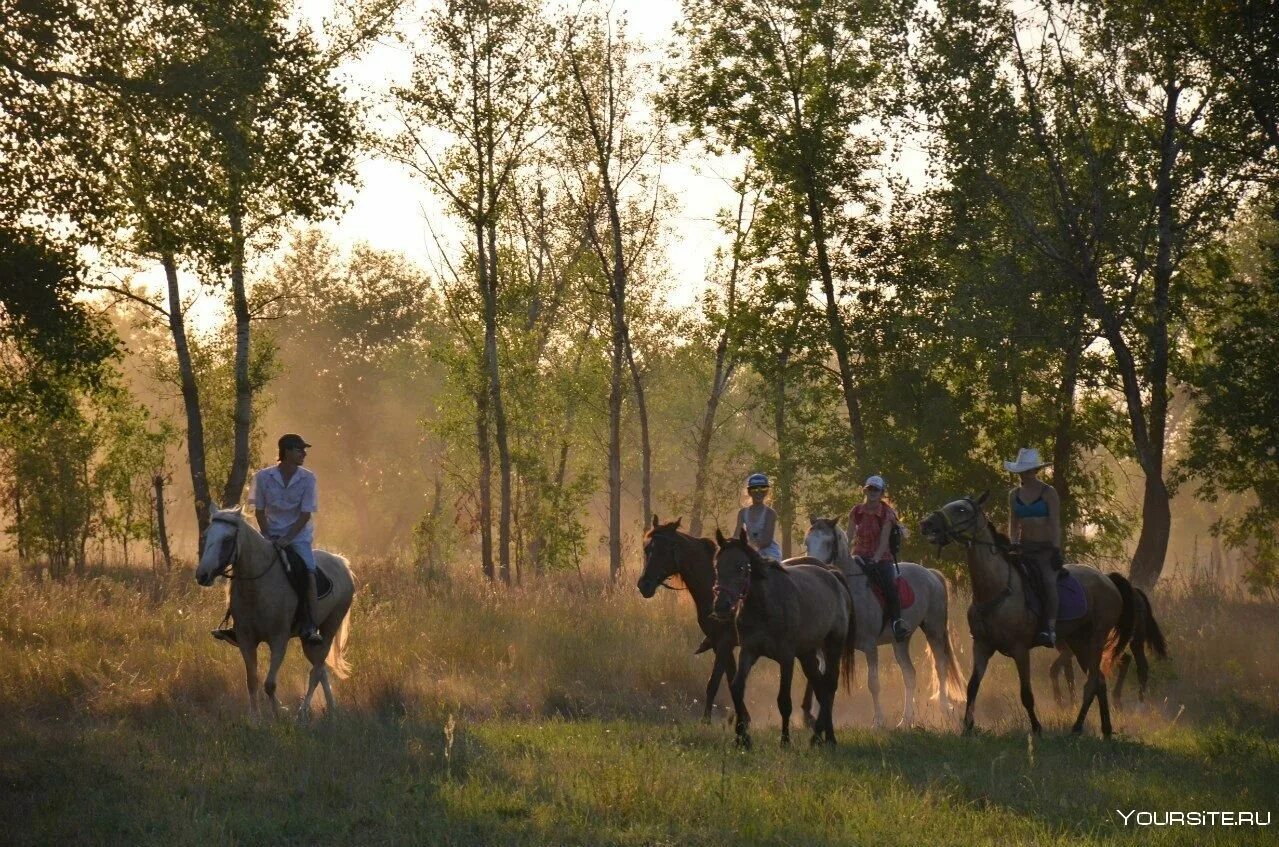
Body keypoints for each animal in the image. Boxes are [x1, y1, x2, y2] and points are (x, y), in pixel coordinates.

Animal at [194, 506, 355, 721]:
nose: (202, 575)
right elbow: (252, 680)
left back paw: (303, 712)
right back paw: (331, 709)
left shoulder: (279, 640)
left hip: (329, 627)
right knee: (320, 669)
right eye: (206, 535)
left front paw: (278, 715)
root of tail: (340, 562)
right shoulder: (246, 640)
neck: (258, 586)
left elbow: (270, 684)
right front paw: (255, 718)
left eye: (227, 539)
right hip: (308, 640)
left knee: (316, 671)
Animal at [634, 514, 736, 721]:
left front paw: (706, 722)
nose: (644, 585)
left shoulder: (724, 642)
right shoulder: (719, 643)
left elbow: (714, 683)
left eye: (664, 551)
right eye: (647, 548)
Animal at [711, 532, 849, 752]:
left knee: (829, 686)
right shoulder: (748, 652)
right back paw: (823, 737)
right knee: (820, 687)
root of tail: (833, 576)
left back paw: (823, 737)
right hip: (807, 654)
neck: (764, 605)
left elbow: (784, 700)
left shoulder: (786, 658)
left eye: (741, 567)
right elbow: (737, 688)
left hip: (832, 647)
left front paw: (785, 740)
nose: (721, 606)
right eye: (717, 567)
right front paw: (742, 737)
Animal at [803, 516, 961, 731]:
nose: (814, 566)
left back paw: (945, 708)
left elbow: (873, 683)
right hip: (900, 641)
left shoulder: (870, 647)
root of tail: (930, 573)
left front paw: (878, 721)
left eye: (828, 542)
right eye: (807, 542)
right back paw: (906, 720)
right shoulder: (827, 649)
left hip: (934, 629)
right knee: (909, 675)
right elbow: (822, 682)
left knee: (940, 666)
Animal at [920, 493, 1140, 742]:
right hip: (1079, 642)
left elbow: (1026, 693)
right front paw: (967, 726)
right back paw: (1106, 730)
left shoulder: (1020, 650)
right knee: (1099, 681)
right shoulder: (982, 646)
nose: (927, 523)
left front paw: (1036, 728)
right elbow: (972, 686)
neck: (996, 589)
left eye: (961, 510)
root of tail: (1108, 579)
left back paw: (1077, 728)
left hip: (1095, 639)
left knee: (1092, 682)